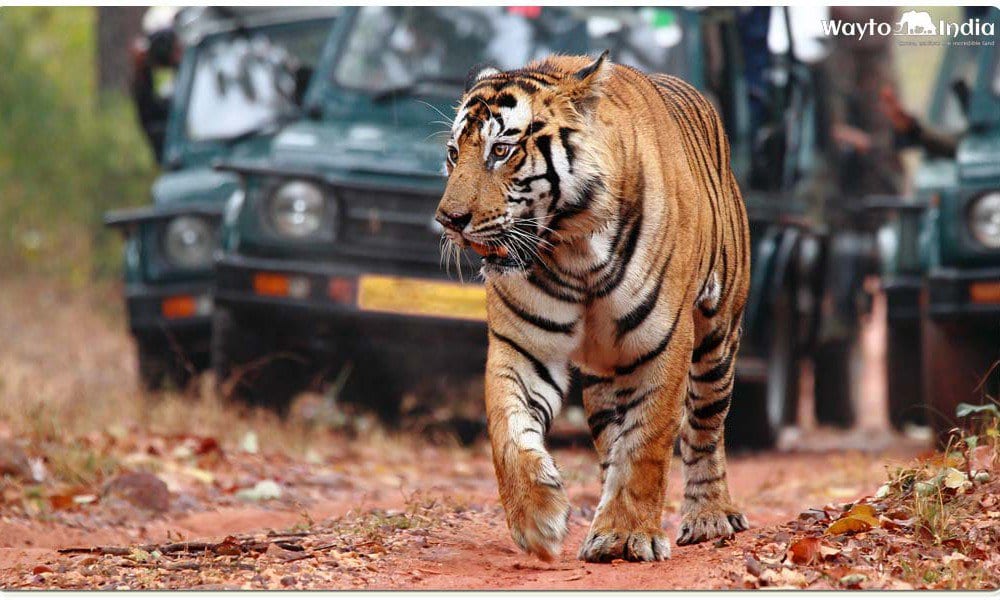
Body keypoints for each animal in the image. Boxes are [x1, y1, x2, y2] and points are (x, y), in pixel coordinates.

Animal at [435, 52, 751, 563]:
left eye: (500, 151)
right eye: (452, 153)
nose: (448, 220)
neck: (573, 248)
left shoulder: (664, 343)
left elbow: (648, 442)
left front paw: (628, 534)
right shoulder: (522, 346)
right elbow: (508, 431)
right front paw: (538, 520)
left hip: (717, 340)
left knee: (705, 429)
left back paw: (710, 516)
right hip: (605, 374)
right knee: (610, 439)